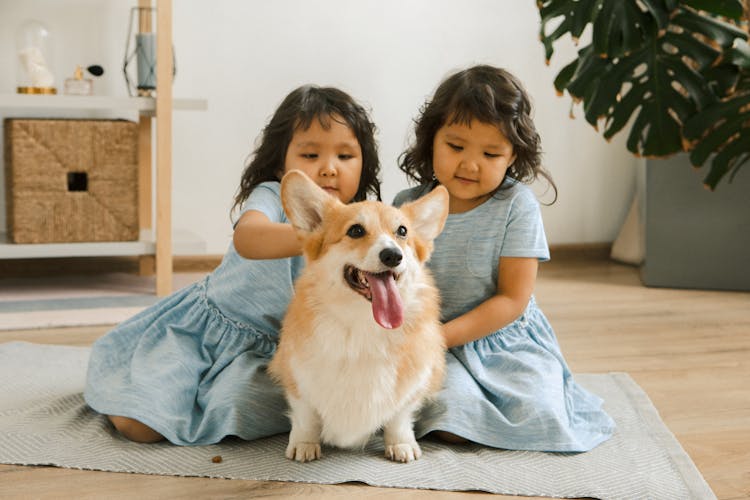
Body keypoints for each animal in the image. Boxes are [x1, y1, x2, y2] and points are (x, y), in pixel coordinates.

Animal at [268, 170, 450, 462]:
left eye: (402, 232)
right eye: (355, 230)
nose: (393, 255)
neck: (365, 326)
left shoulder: (416, 382)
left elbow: (399, 416)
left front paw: (401, 444)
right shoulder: (296, 377)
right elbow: (306, 416)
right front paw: (304, 444)